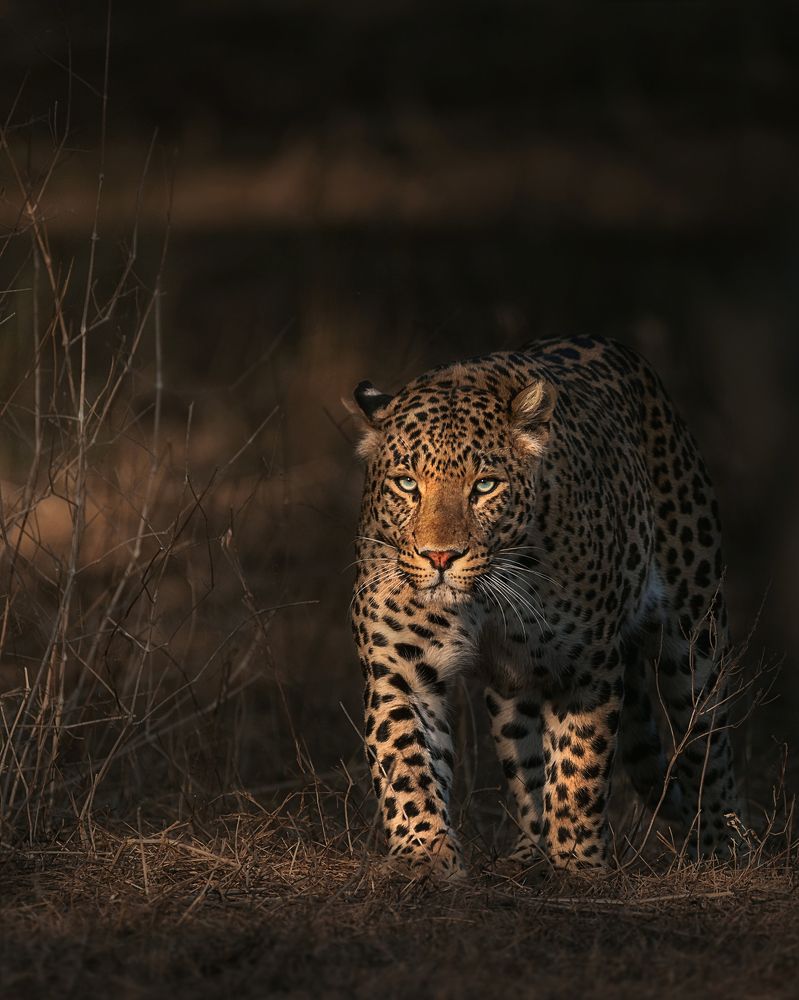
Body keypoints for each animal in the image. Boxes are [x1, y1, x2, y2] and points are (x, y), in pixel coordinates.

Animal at [347, 335, 740, 880]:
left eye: (485, 486)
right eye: (407, 484)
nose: (440, 557)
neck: (482, 600)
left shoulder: (586, 667)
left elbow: (580, 764)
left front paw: (576, 861)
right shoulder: (401, 669)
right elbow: (407, 764)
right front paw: (425, 856)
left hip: (694, 630)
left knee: (708, 740)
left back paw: (720, 849)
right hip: (515, 685)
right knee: (527, 759)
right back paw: (528, 852)